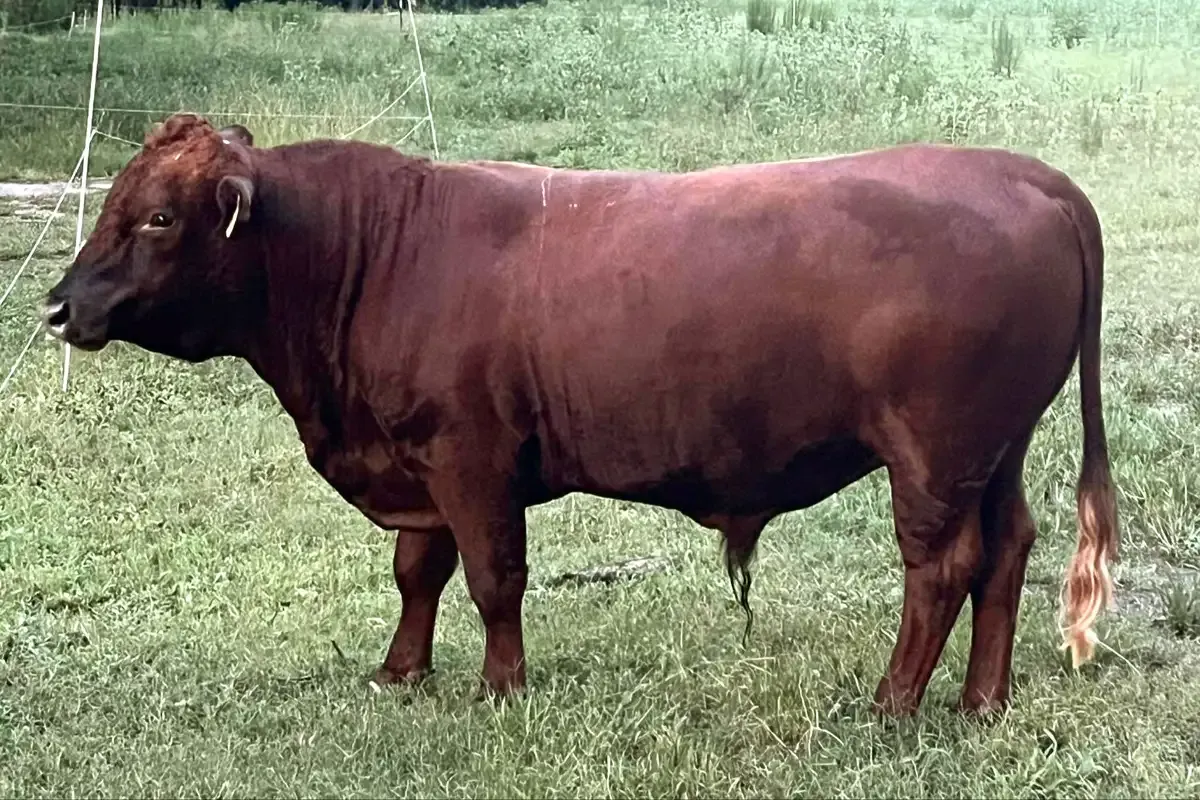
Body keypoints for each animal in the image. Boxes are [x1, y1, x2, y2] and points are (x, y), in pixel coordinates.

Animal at [41, 113, 1119, 717]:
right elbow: (417, 572)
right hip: (996, 449)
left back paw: (894, 703)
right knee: (1007, 551)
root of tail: (1027, 174)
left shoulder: (470, 459)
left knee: (941, 569)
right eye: (116, 202)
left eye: (158, 217)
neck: (377, 253)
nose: (59, 305)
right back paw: (981, 701)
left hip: (933, 454)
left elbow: (494, 578)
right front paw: (401, 672)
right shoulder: (421, 465)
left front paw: (501, 687)